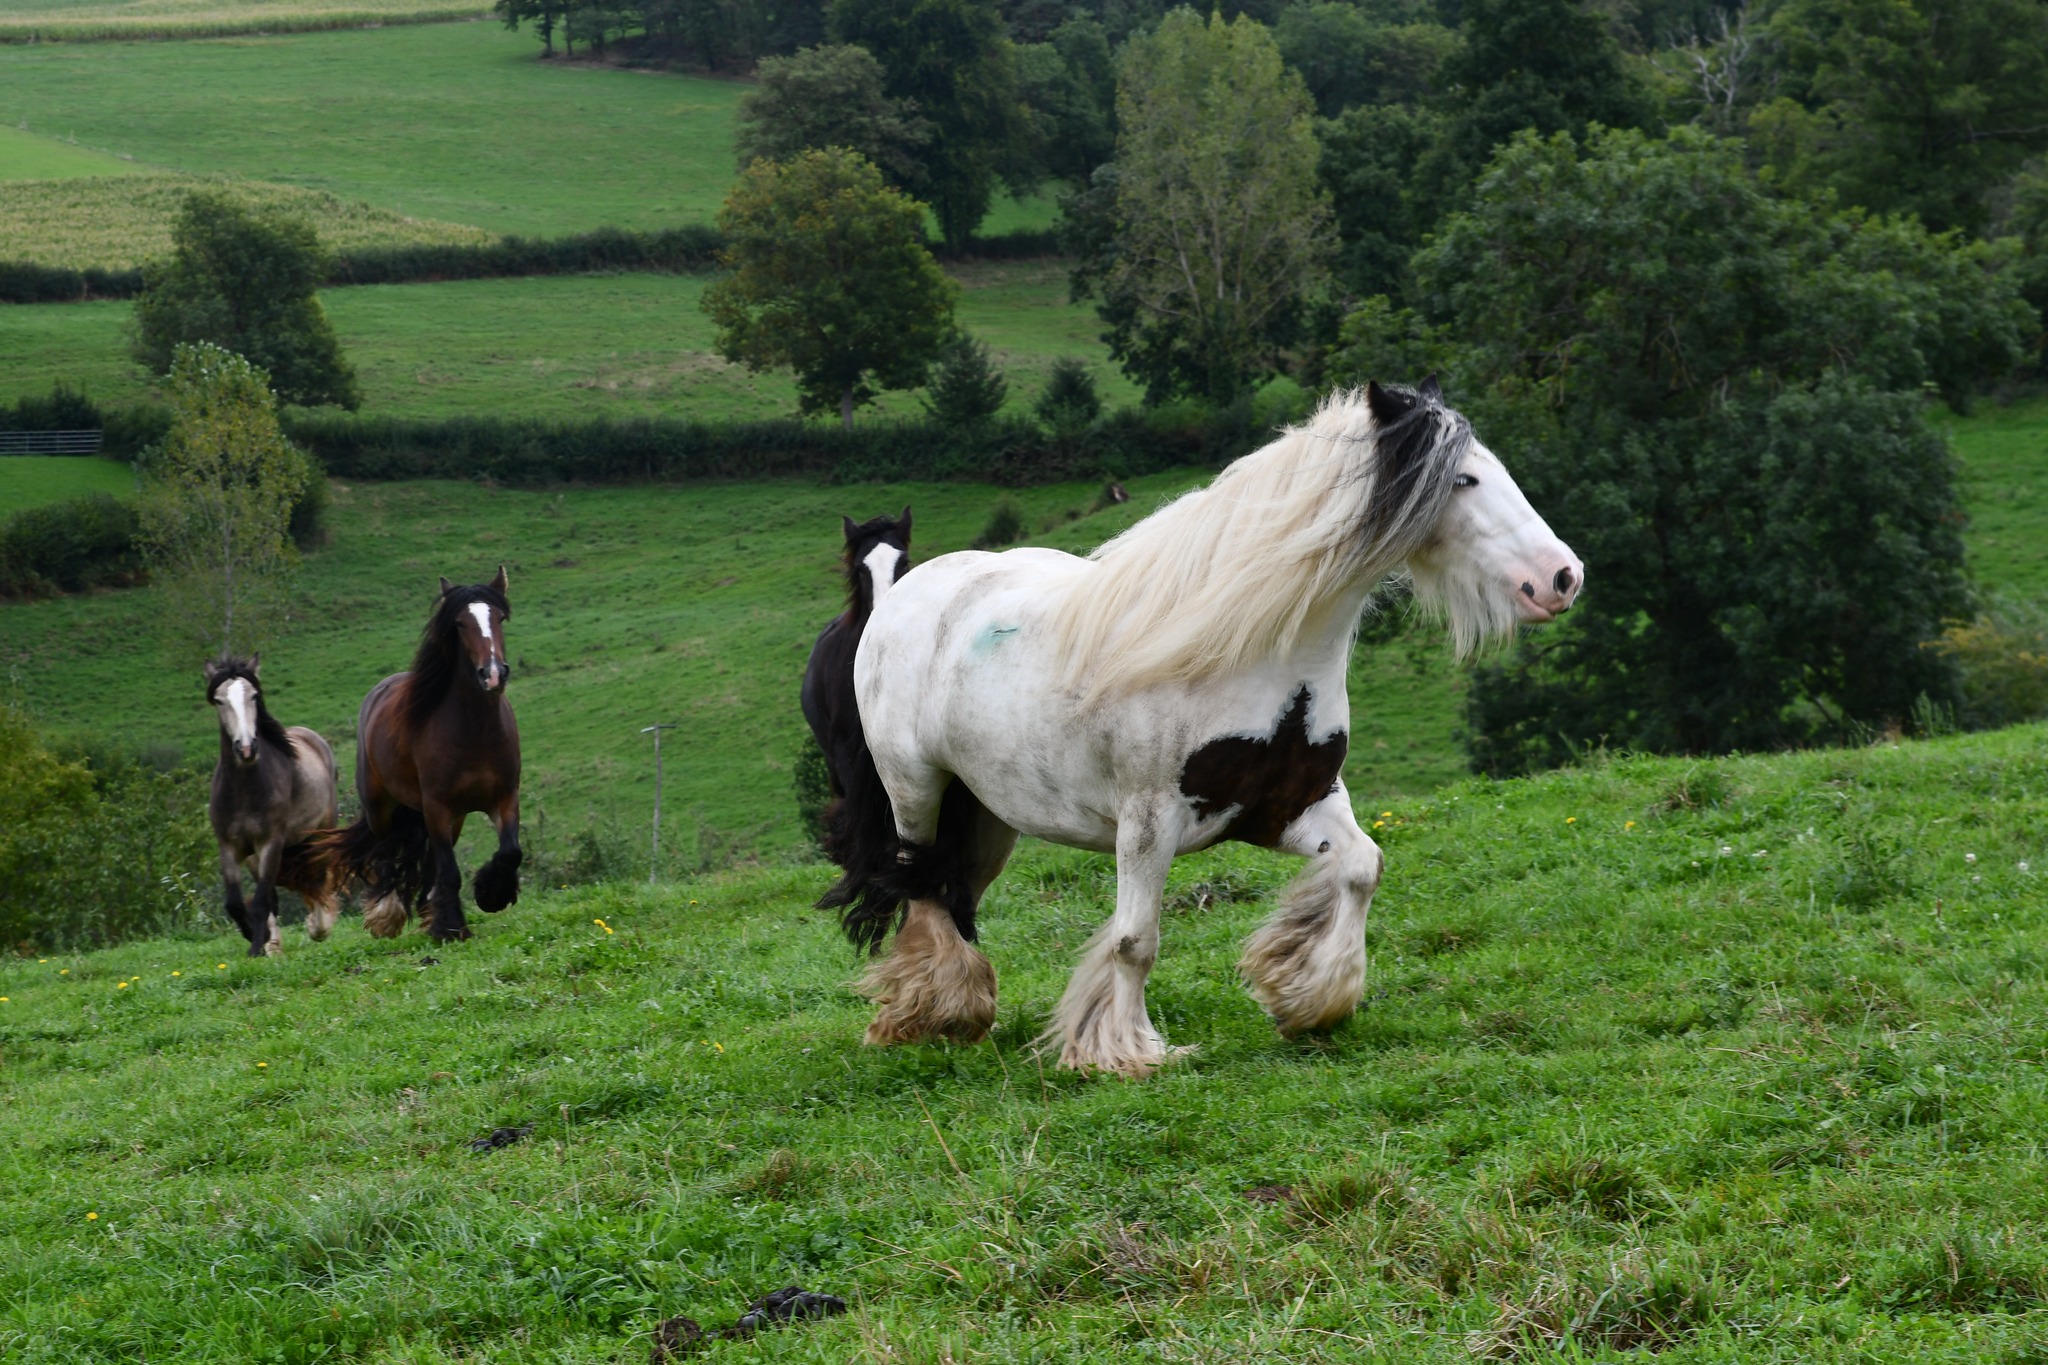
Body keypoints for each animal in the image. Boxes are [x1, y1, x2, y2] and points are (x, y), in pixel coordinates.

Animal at [203, 656, 341, 957]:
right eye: (219, 700)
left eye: (254, 696)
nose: (246, 748)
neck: (242, 790)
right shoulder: (230, 847)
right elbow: (236, 902)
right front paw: (260, 939)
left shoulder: (270, 843)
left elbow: (261, 899)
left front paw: (257, 946)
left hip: (320, 831)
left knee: (318, 876)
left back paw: (319, 926)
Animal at [318, 567, 522, 943]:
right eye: (459, 623)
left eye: (499, 618)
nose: (493, 674)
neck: (475, 733)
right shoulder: (437, 805)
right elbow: (450, 871)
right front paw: (453, 928)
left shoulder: (503, 798)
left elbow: (510, 852)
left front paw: (491, 895)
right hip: (382, 808)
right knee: (384, 852)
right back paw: (386, 915)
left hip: (452, 818)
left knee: (428, 864)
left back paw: (429, 911)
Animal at [819, 381, 1584, 1075]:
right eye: (1464, 477)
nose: (1563, 577)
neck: (1256, 651)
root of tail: (908, 591)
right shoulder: (1148, 822)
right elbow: (1135, 940)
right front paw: (1126, 1052)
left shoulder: (1290, 804)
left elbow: (1362, 867)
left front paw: (1310, 996)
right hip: (917, 791)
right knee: (918, 883)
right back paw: (929, 1015)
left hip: (986, 815)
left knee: (957, 891)